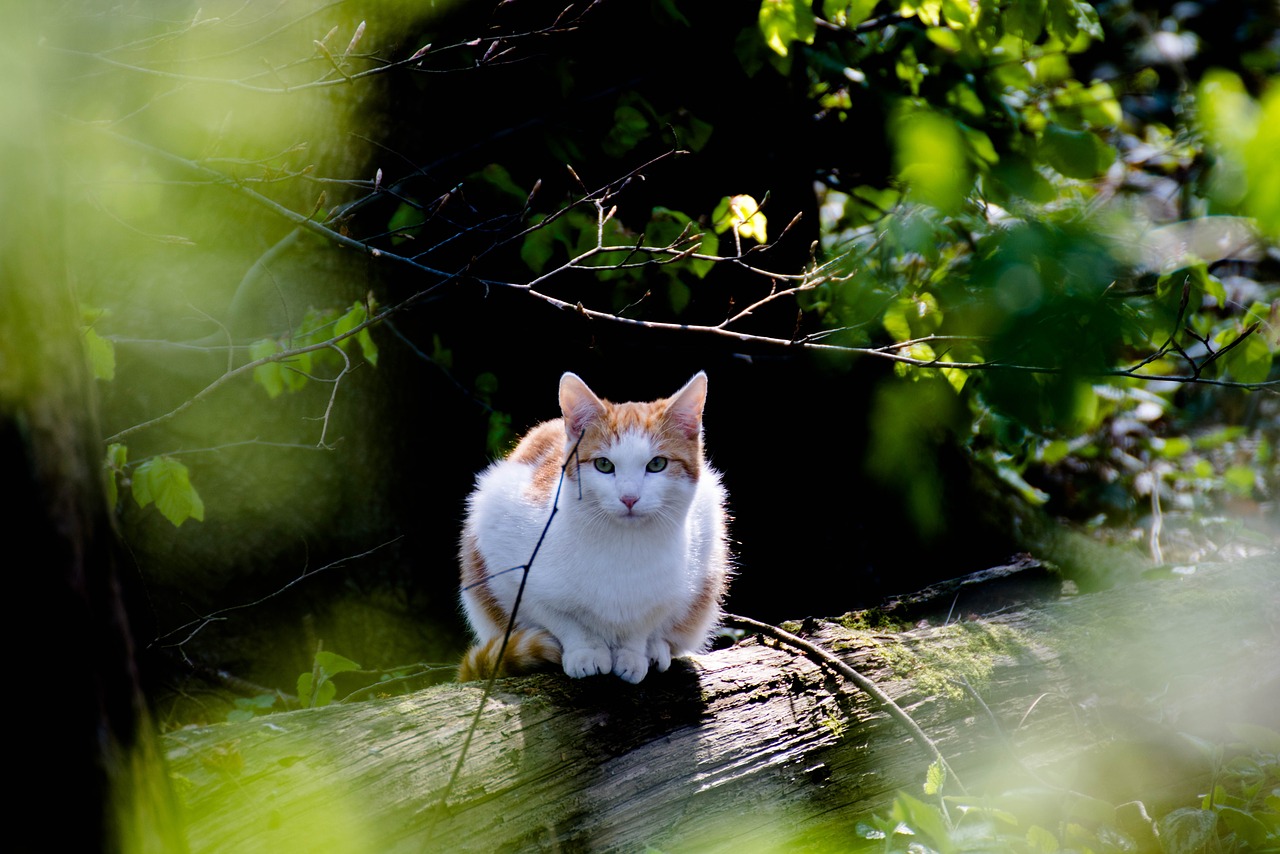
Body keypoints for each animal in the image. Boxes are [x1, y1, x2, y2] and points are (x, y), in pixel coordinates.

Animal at [458, 371, 732, 686]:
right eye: (603, 465)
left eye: (657, 464)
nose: (629, 497)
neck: (622, 548)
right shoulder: (508, 559)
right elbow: (560, 618)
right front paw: (584, 651)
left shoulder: (676, 584)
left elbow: (645, 621)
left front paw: (633, 652)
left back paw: (655, 649)